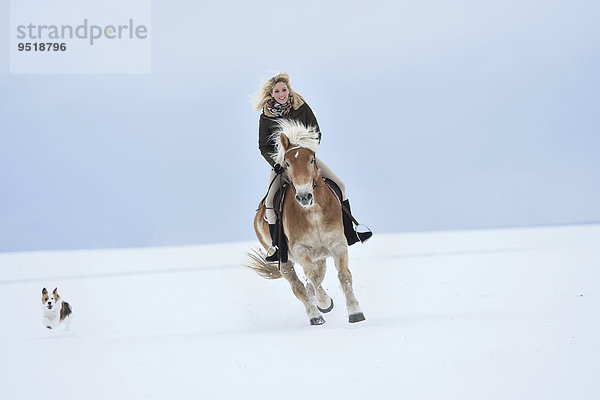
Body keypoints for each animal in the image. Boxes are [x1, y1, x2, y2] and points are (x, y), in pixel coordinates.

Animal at [245, 120, 366, 326]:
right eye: (286, 163)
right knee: (298, 286)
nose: (304, 196)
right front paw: (324, 303)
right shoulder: (301, 249)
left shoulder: (338, 244)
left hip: (320, 255)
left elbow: (343, 276)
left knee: (314, 278)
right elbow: (312, 276)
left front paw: (355, 312)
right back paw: (315, 315)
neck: (313, 212)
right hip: (285, 261)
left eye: (311, 159)